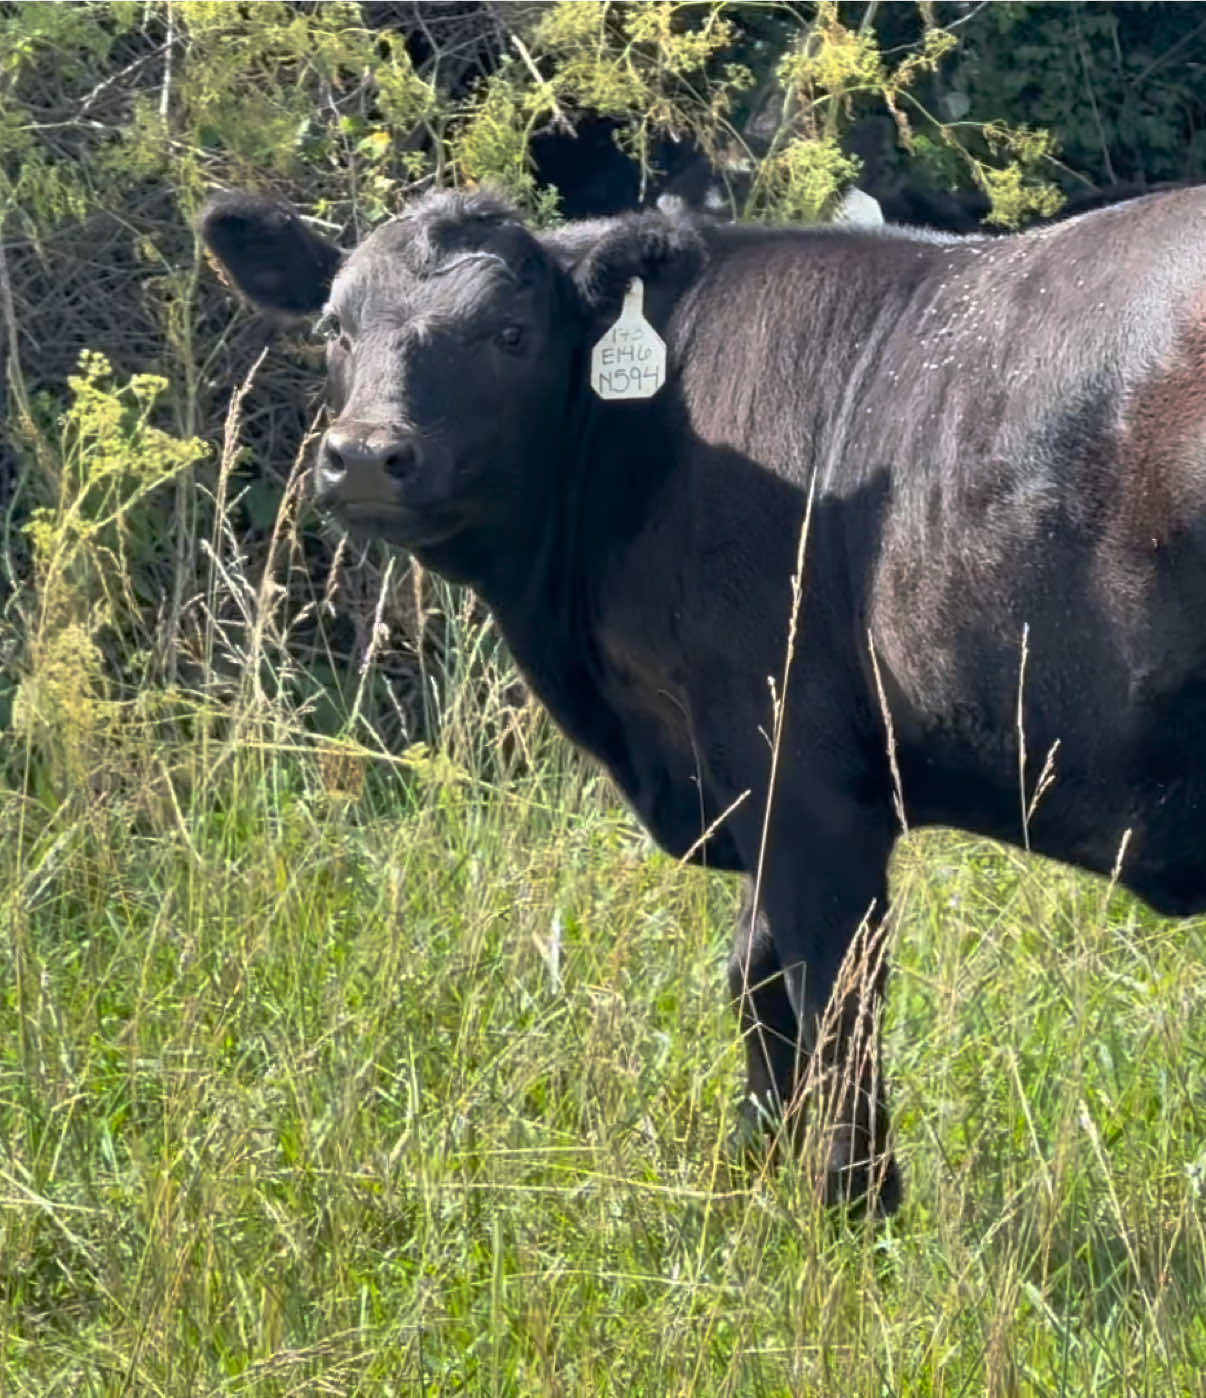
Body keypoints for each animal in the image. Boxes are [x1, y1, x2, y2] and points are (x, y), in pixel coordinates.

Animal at [200, 183, 1206, 1212]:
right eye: (334, 327)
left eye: (511, 334)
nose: (364, 456)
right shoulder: (747, 780)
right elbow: (753, 980)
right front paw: (753, 1178)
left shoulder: (802, 781)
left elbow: (833, 997)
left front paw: (854, 1209)